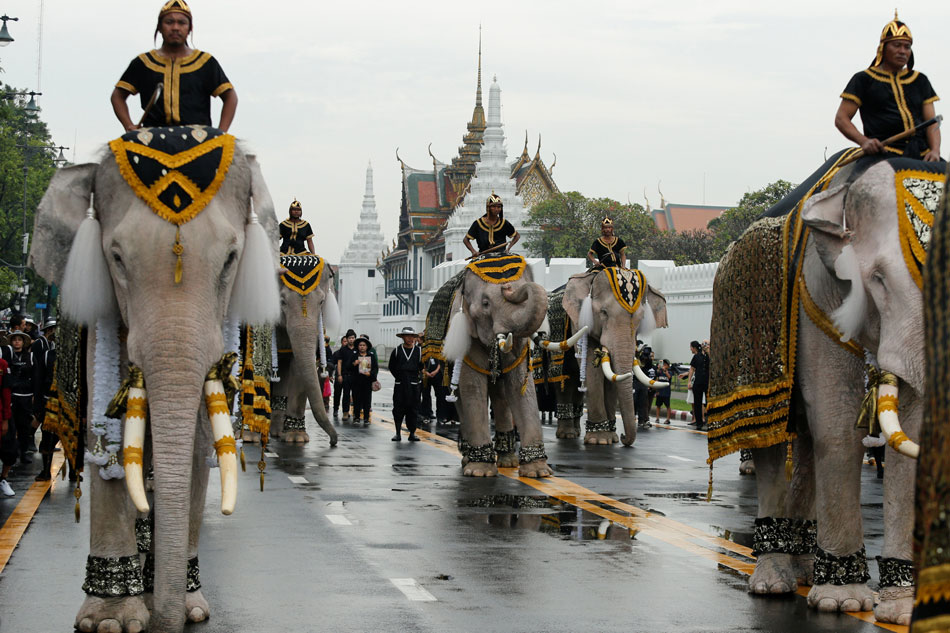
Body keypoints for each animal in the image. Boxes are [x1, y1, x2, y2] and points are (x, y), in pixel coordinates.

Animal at [29, 128, 280, 632]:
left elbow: (200, 447)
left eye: (231, 258)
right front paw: (110, 622)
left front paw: (190, 610)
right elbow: (104, 444)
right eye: (116, 258)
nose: (171, 621)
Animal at [266, 252, 340, 444]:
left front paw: (296, 438)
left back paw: (277, 432)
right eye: (282, 302)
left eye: (321, 302)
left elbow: (299, 366)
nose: (333, 441)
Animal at [442, 254, 556, 476]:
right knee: (460, 397)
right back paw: (468, 459)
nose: (508, 287)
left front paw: (538, 473)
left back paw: (508, 462)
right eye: (486, 303)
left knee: (501, 395)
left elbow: (520, 385)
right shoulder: (467, 336)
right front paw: (480, 472)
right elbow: (472, 386)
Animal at [544, 266, 668, 444]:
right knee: (564, 379)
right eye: (603, 312)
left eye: (642, 318)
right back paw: (567, 435)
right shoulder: (578, 323)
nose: (624, 437)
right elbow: (592, 370)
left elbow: (611, 376)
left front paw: (612, 437)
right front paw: (600, 439)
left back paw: (576, 431)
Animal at [712, 157, 940, 624]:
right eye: (878, 280)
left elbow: (907, 430)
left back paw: (803, 570)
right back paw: (774, 583)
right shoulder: (815, 295)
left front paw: (901, 611)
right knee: (773, 438)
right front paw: (844, 602)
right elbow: (837, 428)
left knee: (804, 442)